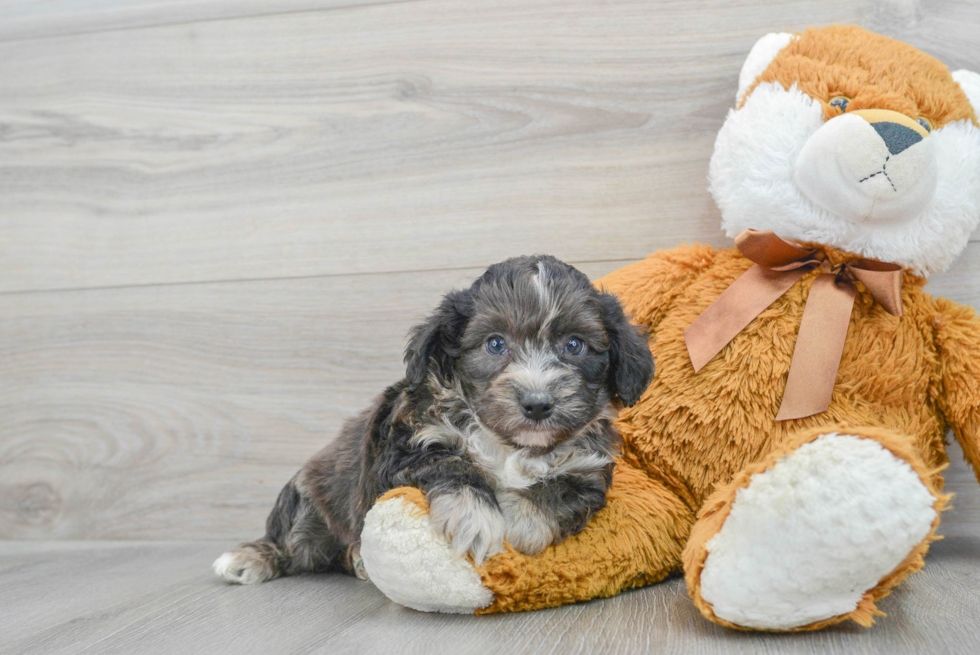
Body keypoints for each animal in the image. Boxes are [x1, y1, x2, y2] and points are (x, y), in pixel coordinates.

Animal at [215, 255, 660, 584]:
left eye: (575, 345)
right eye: (495, 343)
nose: (537, 404)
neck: (508, 443)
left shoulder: (588, 471)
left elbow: (556, 493)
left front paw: (515, 522)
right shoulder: (405, 449)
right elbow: (453, 464)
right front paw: (477, 519)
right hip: (304, 503)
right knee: (290, 543)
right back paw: (249, 559)